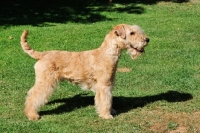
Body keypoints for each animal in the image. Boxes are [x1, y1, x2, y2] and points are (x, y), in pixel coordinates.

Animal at [20, 24, 148, 120]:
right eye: (132, 33)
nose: (147, 39)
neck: (107, 54)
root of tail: (42, 54)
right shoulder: (103, 85)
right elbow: (105, 100)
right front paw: (106, 115)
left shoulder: (109, 84)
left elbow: (109, 100)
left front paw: (111, 111)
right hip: (45, 81)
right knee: (32, 96)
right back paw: (32, 115)